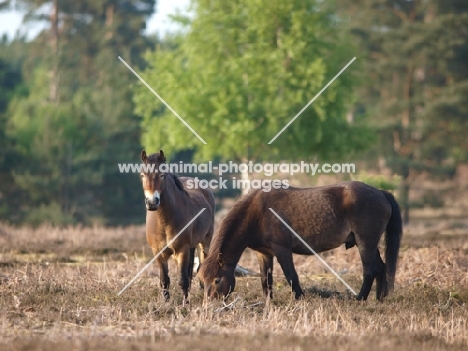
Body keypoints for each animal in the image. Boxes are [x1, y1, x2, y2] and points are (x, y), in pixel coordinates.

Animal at [141, 150, 216, 302]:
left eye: (161, 175)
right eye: (142, 175)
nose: (152, 202)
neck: (164, 221)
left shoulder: (182, 250)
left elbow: (183, 280)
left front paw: (185, 303)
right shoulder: (158, 252)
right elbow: (164, 280)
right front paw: (166, 302)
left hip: (204, 242)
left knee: (201, 267)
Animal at [197, 182, 402, 302]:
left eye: (216, 280)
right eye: (201, 280)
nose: (210, 305)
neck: (257, 212)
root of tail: (381, 193)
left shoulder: (282, 250)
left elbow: (291, 276)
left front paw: (299, 298)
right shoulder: (263, 253)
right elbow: (265, 279)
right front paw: (268, 302)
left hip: (365, 243)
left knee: (370, 270)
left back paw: (360, 299)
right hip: (369, 244)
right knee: (381, 268)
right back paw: (379, 299)